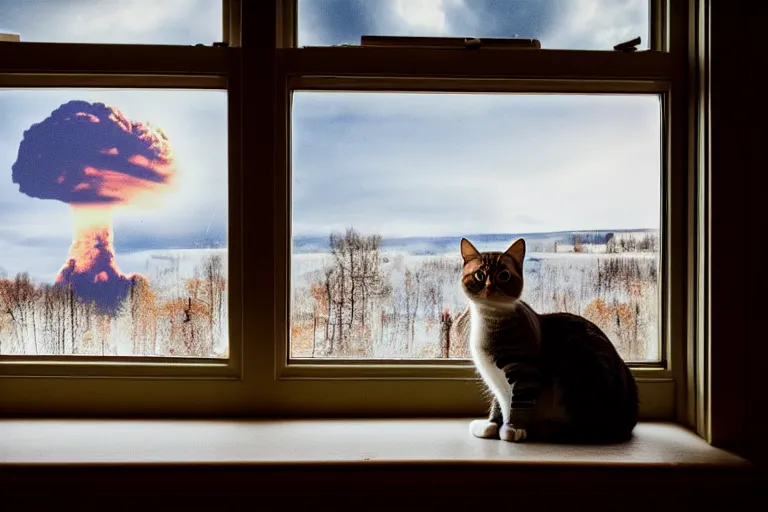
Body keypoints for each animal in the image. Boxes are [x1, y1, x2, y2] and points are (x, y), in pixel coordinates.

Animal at [452, 238, 640, 442]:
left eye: (504, 275)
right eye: (479, 275)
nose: (489, 287)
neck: (490, 322)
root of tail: (627, 425)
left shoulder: (525, 372)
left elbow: (519, 403)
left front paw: (513, 428)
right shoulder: (495, 380)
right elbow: (499, 402)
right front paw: (491, 425)